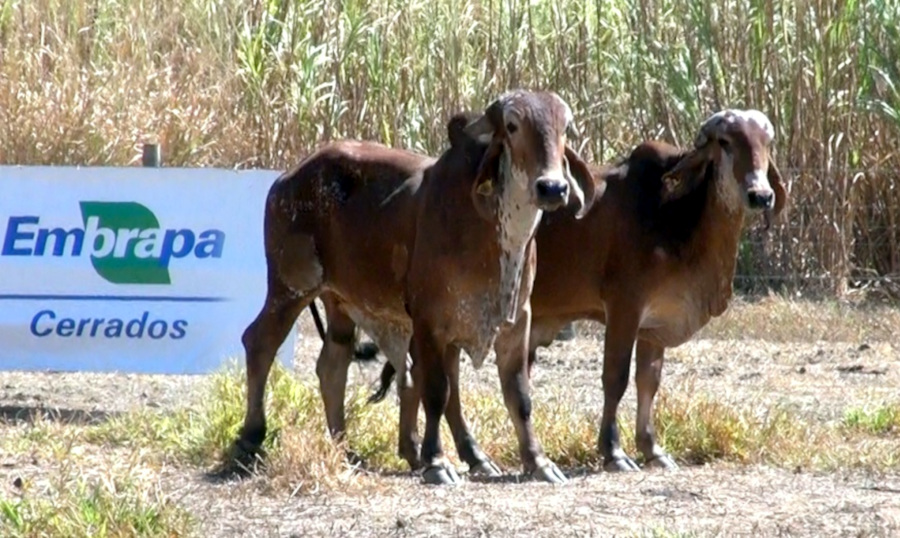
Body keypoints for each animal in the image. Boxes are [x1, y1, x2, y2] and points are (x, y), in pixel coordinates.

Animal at [232, 90, 596, 484]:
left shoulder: (514, 321)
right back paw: (249, 440)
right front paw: (436, 461)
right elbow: (437, 391)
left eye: (565, 128)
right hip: (290, 287)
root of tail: (287, 178)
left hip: (339, 301)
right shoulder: (429, 321)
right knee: (260, 342)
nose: (553, 187)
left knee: (332, 365)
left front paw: (537, 461)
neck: (492, 229)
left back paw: (346, 451)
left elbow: (518, 396)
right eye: (512, 126)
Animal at [366, 108, 788, 474]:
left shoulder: (654, 326)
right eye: (725, 142)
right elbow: (616, 378)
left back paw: (449, 455)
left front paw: (652, 448)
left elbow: (648, 382)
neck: (676, 216)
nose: (761, 195)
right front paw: (614, 452)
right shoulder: (624, 308)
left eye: (767, 143)